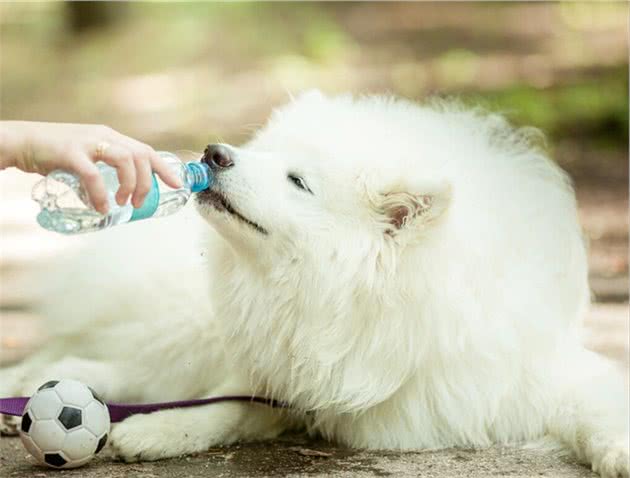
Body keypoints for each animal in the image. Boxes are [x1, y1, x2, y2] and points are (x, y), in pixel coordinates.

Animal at [2, 91, 628, 476]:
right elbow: (223, 404)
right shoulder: (278, 361)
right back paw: (33, 386)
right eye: (267, 153)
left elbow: (599, 408)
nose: (214, 153)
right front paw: (162, 429)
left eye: (298, 181)